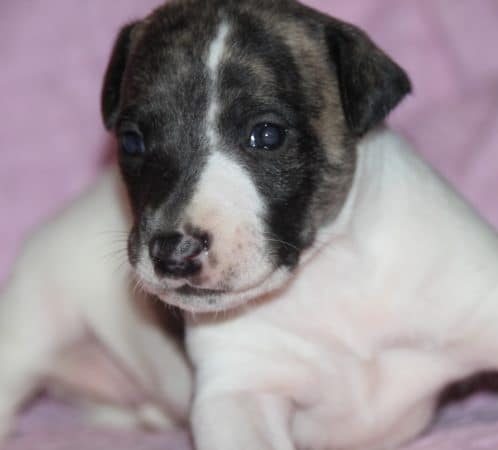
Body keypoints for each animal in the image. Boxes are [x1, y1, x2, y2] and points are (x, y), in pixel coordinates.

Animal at [2, 0, 498, 448]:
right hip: (32, 322)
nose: (172, 252)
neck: (333, 274)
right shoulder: (239, 392)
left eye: (267, 135)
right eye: (131, 141)